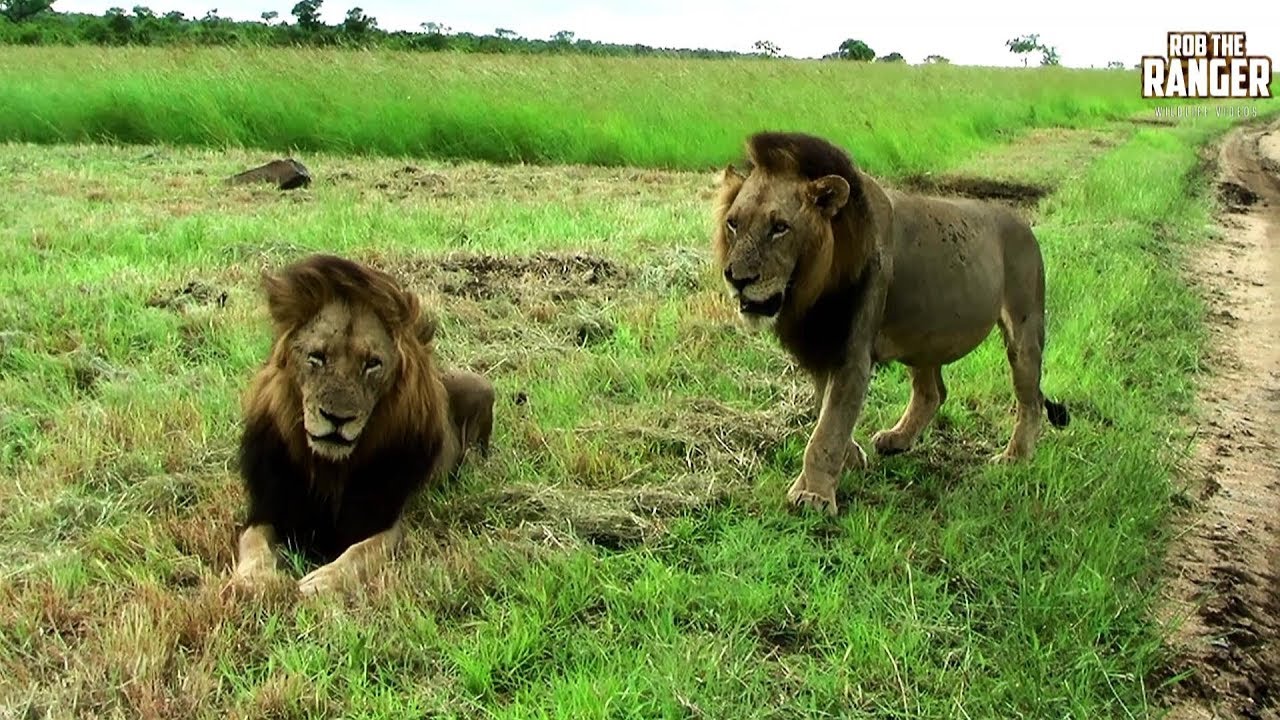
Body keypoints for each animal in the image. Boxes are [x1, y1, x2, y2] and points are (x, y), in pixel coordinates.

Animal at [229, 254, 495, 595]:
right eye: (317, 356)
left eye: (372, 364)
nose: (337, 418)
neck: (330, 469)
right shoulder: (270, 506)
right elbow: (252, 541)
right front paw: (253, 579)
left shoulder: (386, 520)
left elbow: (360, 553)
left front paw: (319, 582)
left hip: (480, 386)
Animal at [713, 131, 1070, 516]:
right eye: (733, 223)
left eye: (779, 228)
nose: (737, 278)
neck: (811, 289)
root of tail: (1022, 224)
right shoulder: (823, 341)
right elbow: (828, 413)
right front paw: (851, 459)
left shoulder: (851, 350)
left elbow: (827, 430)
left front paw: (814, 497)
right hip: (926, 333)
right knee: (933, 393)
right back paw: (898, 439)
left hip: (1024, 326)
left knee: (1030, 397)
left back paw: (1015, 457)